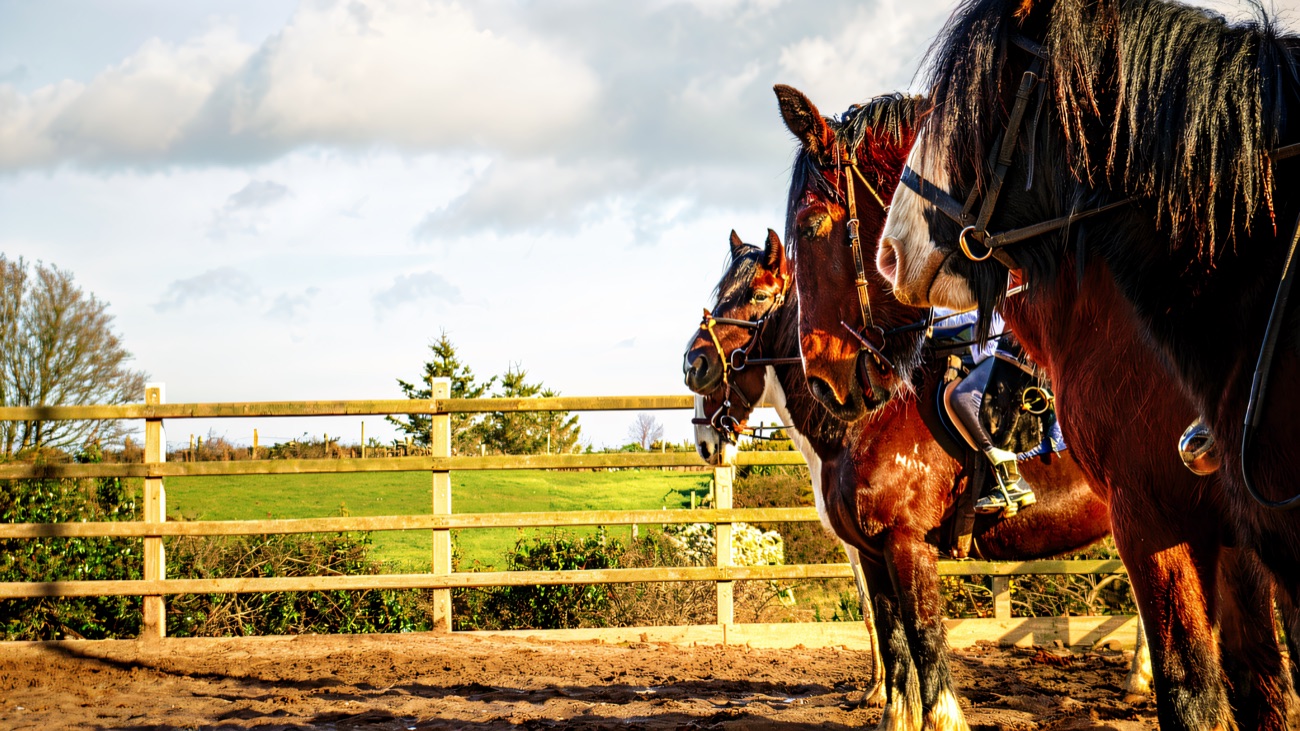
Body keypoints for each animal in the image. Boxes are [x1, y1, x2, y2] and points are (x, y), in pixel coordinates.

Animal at [684, 228, 1117, 730]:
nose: (692, 364)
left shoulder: (906, 544)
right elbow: (892, 638)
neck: (870, 417)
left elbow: (924, 638)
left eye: (756, 295)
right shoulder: (873, 552)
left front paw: (942, 717)